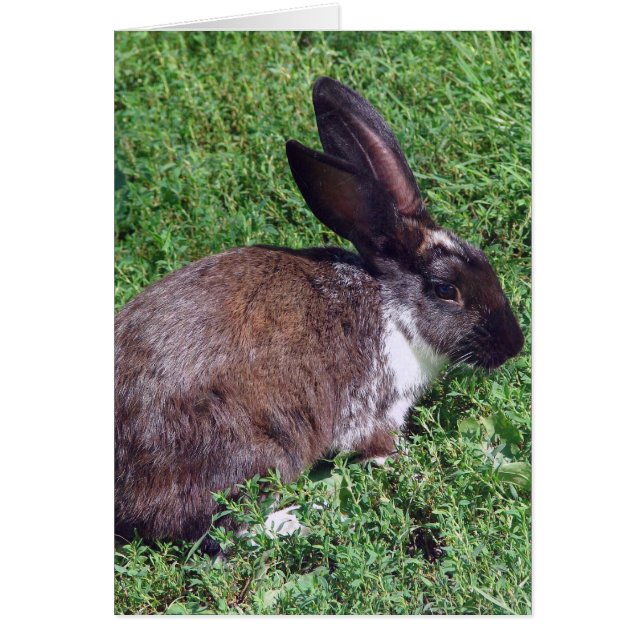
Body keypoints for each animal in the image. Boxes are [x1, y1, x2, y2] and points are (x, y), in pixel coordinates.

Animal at [115, 77, 524, 554]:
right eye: (446, 290)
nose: (514, 344)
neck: (392, 306)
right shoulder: (374, 410)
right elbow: (379, 448)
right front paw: (412, 468)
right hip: (257, 449)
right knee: (223, 527)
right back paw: (311, 518)